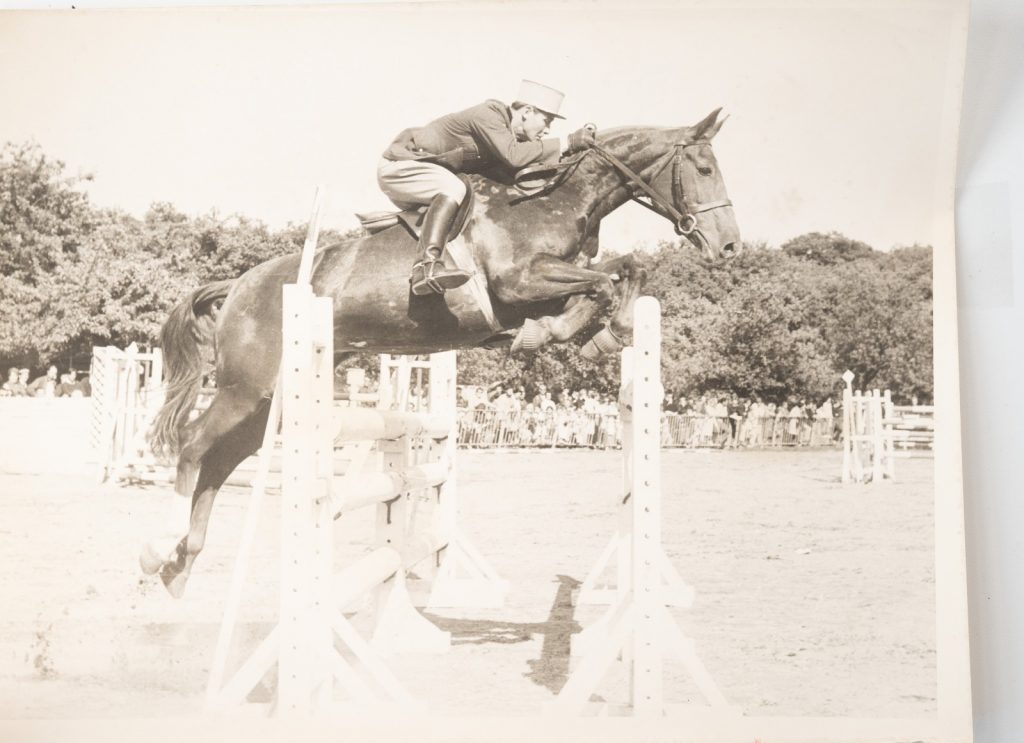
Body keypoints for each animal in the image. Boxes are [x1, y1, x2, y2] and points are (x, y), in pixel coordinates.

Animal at [141, 108, 742, 597]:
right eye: (704, 169)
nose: (730, 246)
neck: (553, 201)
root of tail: (239, 284)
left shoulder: (546, 284)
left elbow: (625, 270)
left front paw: (603, 333)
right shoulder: (520, 282)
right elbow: (599, 285)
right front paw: (570, 332)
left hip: (271, 405)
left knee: (218, 464)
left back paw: (179, 565)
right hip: (246, 389)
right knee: (193, 447)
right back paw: (159, 548)